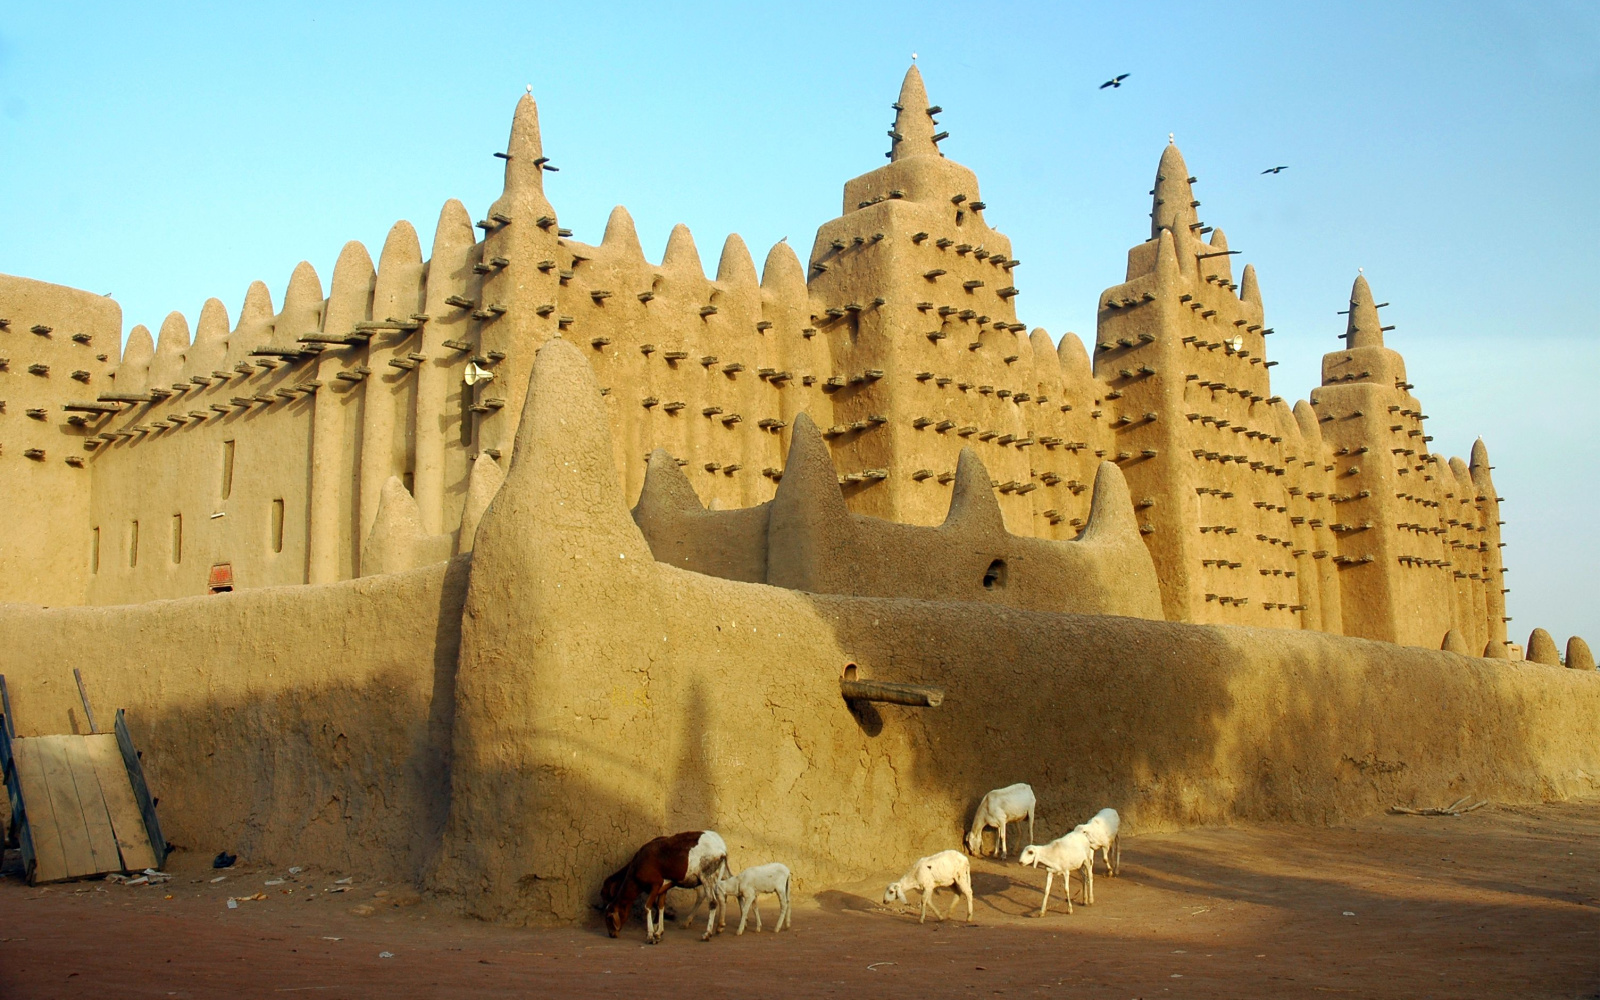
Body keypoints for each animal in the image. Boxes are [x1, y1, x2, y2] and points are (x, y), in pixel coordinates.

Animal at [601, 825, 732, 940]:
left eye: (608, 918)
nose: (612, 934)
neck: (637, 866)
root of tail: (722, 849)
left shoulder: (655, 884)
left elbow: (647, 906)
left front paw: (651, 935)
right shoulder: (664, 887)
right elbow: (660, 906)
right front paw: (659, 932)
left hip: (707, 876)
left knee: (712, 902)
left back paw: (707, 933)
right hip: (720, 875)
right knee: (722, 895)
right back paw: (719, 926)